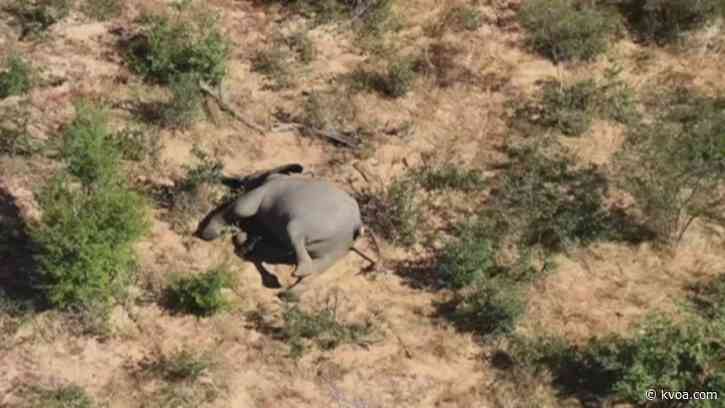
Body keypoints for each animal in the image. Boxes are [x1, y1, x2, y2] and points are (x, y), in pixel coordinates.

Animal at [196, 164, 364, 283]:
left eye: (253, 175)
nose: (237, 179)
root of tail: (356, 224)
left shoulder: (265, 190)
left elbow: (242, 209)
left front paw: (208, 233)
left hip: (316, 227)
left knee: (294, 238)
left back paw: (297, 271)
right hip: (338, 248)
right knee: (304, 262)